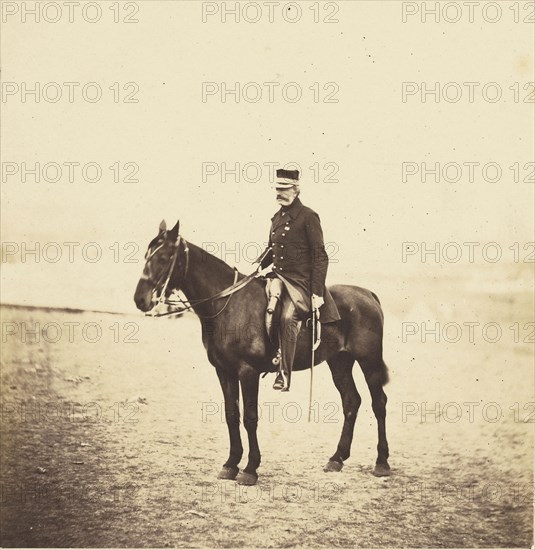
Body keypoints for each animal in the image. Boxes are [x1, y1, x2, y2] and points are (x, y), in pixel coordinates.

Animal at [135, 220, 390, 488]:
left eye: (164, 257)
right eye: (146, 255)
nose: (140, 299)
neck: (228, 305)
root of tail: (368, 294)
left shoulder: (248, 372)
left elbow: (250, 417)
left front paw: (250, 469)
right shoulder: (224, 371)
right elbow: (231, 415)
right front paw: (230, 464)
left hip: (369, 362)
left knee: (379, 403)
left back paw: (381, 462)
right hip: (339, 362)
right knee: (351, 401)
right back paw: (337, 458)